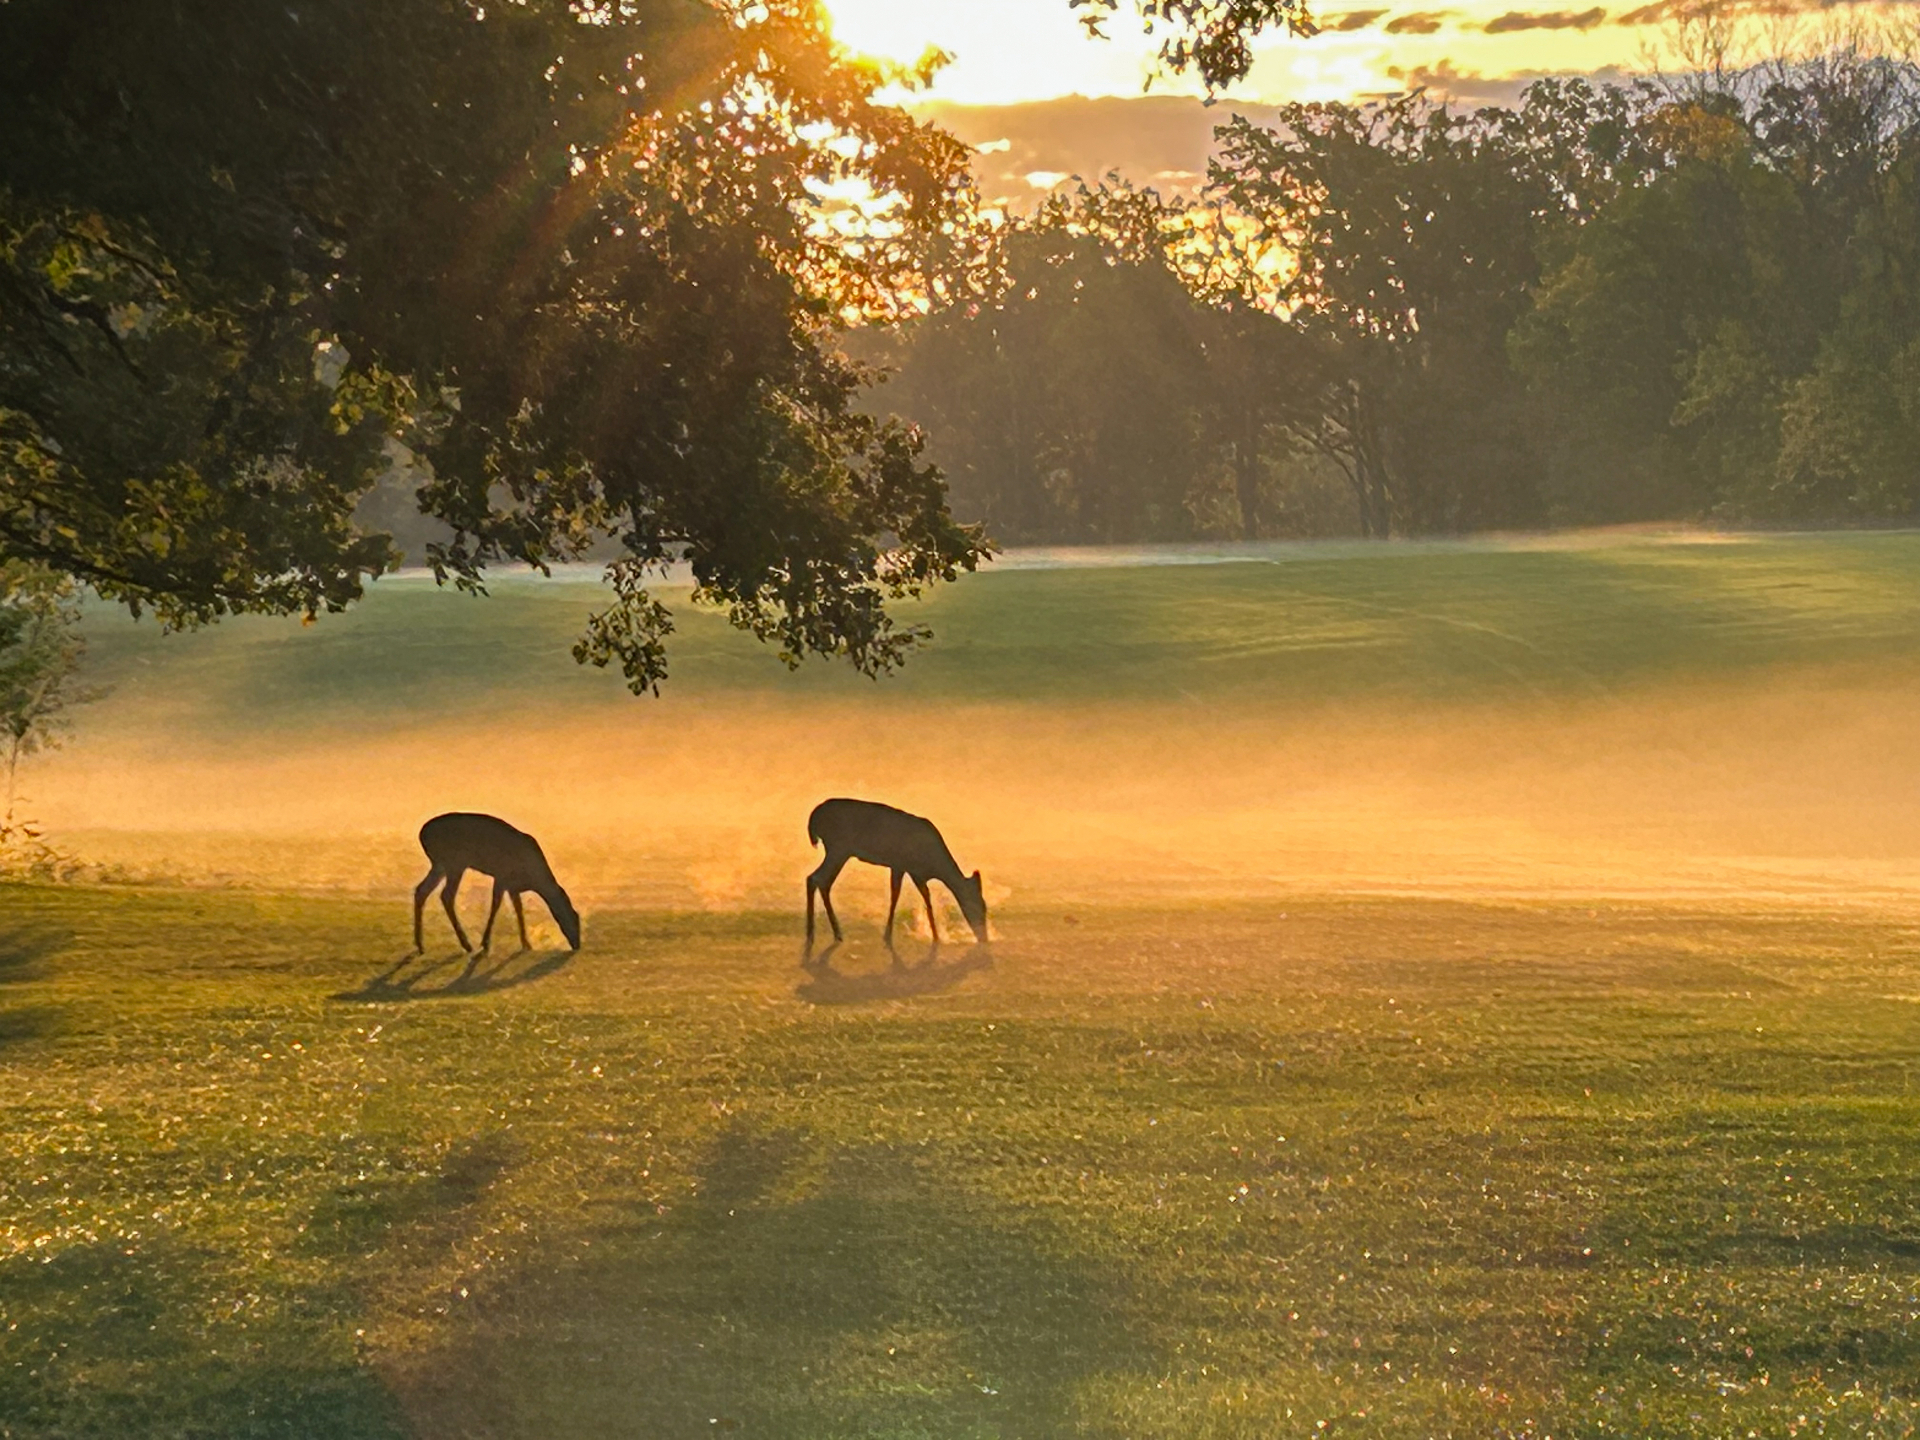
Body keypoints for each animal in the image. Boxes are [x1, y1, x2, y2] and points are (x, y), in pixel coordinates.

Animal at [412, 812, 581, 960]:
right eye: (572, 917)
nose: (577, 944)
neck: (535, 879)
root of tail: (422, 834)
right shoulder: (502, 875)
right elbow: (496, 905)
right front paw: (485, 945)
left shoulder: (513, 886)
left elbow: (518, 908)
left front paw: (526, 944)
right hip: (454, 862)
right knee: (446, 895)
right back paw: (466, 945)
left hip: (440, 864)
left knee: (421, 890)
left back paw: (420, 945)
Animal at [805, 797, 989, 954]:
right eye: (979, 906)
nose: (984, 938)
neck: (934, 866)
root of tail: (813, 819)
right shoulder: (908, 866)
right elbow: (908, 895)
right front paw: (933, 936)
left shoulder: (905, 868)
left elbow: (916, 896)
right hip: (839, 848)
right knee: (818, 878)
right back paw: (828, 932)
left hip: (838, 850)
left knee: (816, 879)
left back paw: (818, 931)